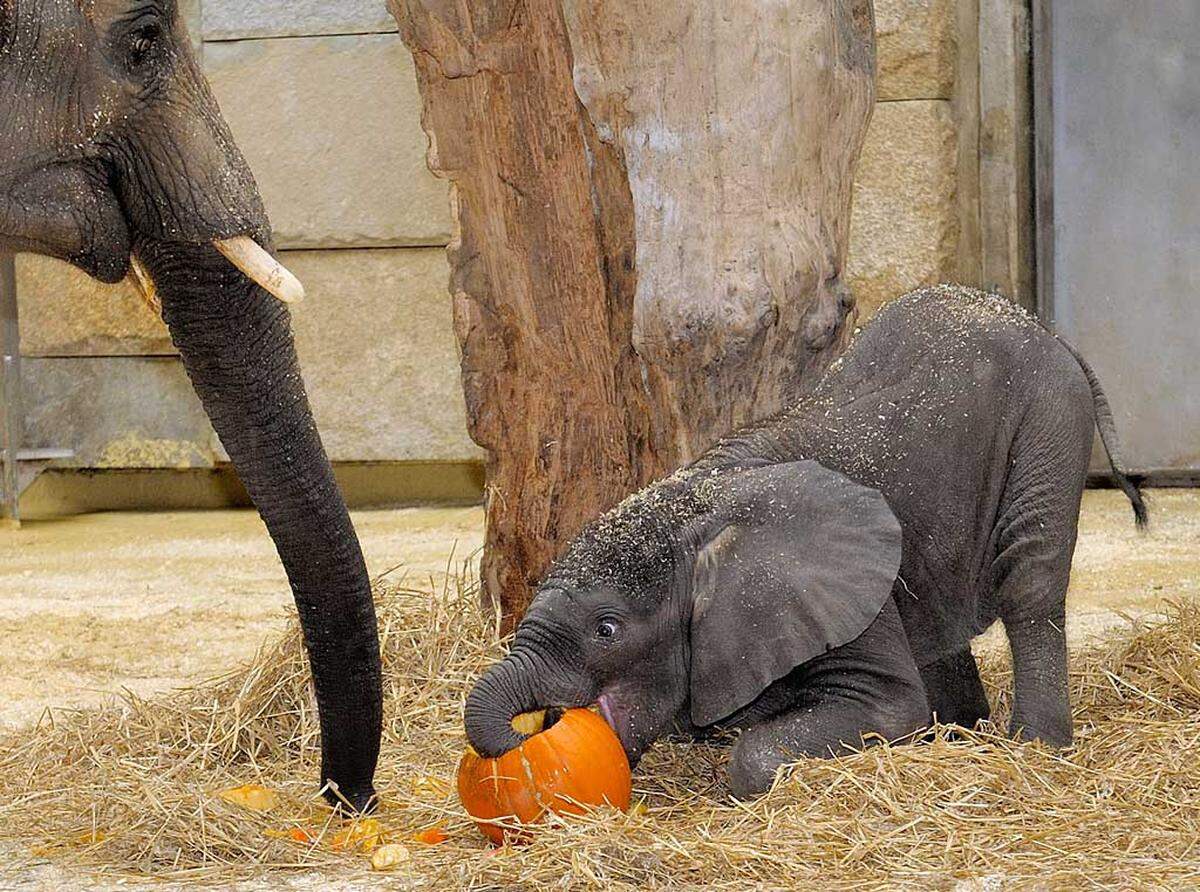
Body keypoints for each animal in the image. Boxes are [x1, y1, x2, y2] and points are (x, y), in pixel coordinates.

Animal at [458, 284, 1142, 797]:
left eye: (606, 629)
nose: (529, 735)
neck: (695, 509)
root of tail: (1045, 328)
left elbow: (887, 708)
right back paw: (957, 738)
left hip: (1050, 416)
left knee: (1030, 576)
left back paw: (1033, 748)